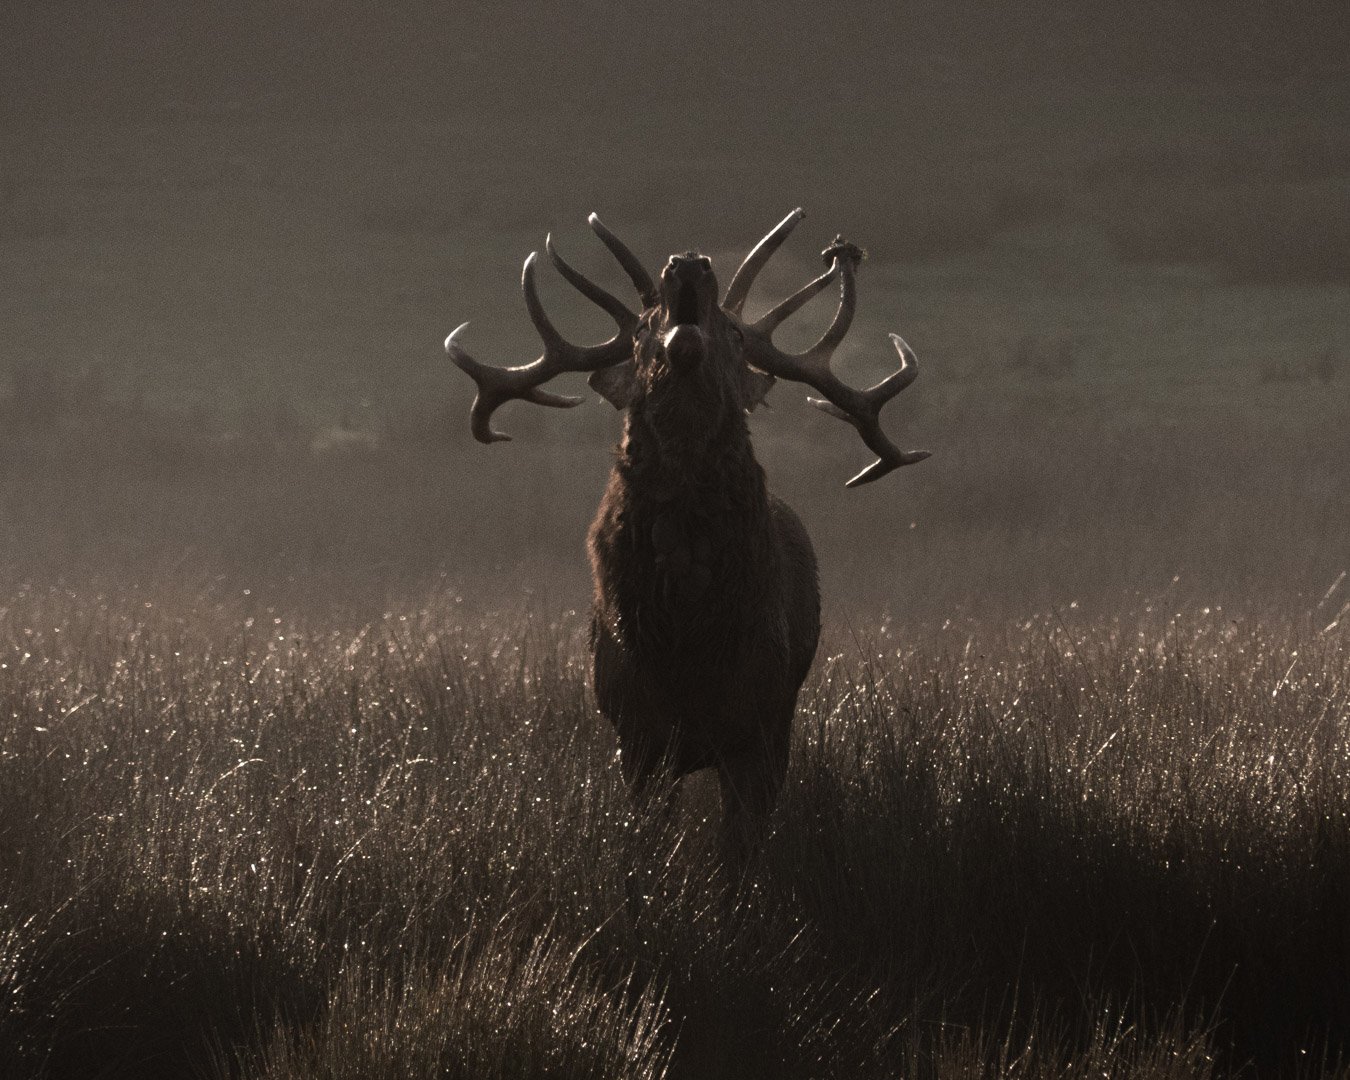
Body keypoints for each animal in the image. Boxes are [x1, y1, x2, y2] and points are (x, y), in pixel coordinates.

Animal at [445, 209, 929, 846]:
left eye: (738, 335)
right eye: (640, 332)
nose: (688, 264)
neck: (687, 632)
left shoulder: (760, 724)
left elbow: (740, 849)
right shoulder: (636, 731)